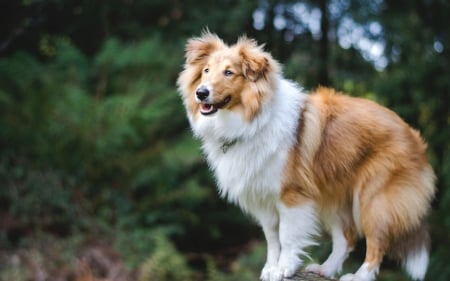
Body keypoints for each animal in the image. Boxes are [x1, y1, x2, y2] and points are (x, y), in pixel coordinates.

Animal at [177, 31, 436, 280]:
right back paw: (326, 270)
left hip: (373, 200)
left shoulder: (291, 195)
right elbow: (272, 238)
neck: (253, 121)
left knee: (377, 241)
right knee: (346, 238)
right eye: (206, 71)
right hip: (333, 195)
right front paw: (270, 269)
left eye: (229, 72)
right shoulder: (263, 197)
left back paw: (360, 276)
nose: (201, 93)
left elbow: (287, 236)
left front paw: (284, 268)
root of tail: (413, 135)